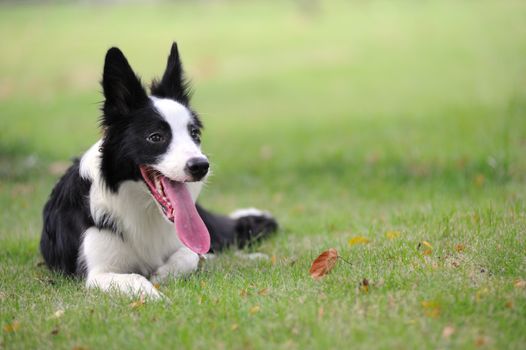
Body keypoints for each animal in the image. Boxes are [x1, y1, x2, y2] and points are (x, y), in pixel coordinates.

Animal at [40, 42, 278, 300]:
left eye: (194, 133)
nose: (201, 166)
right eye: (155, 137)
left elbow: (192, 255)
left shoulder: (186, 241)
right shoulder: (99, 273)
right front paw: (157, 296)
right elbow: (136, 278)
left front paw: (163, 274)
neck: (144, 210)